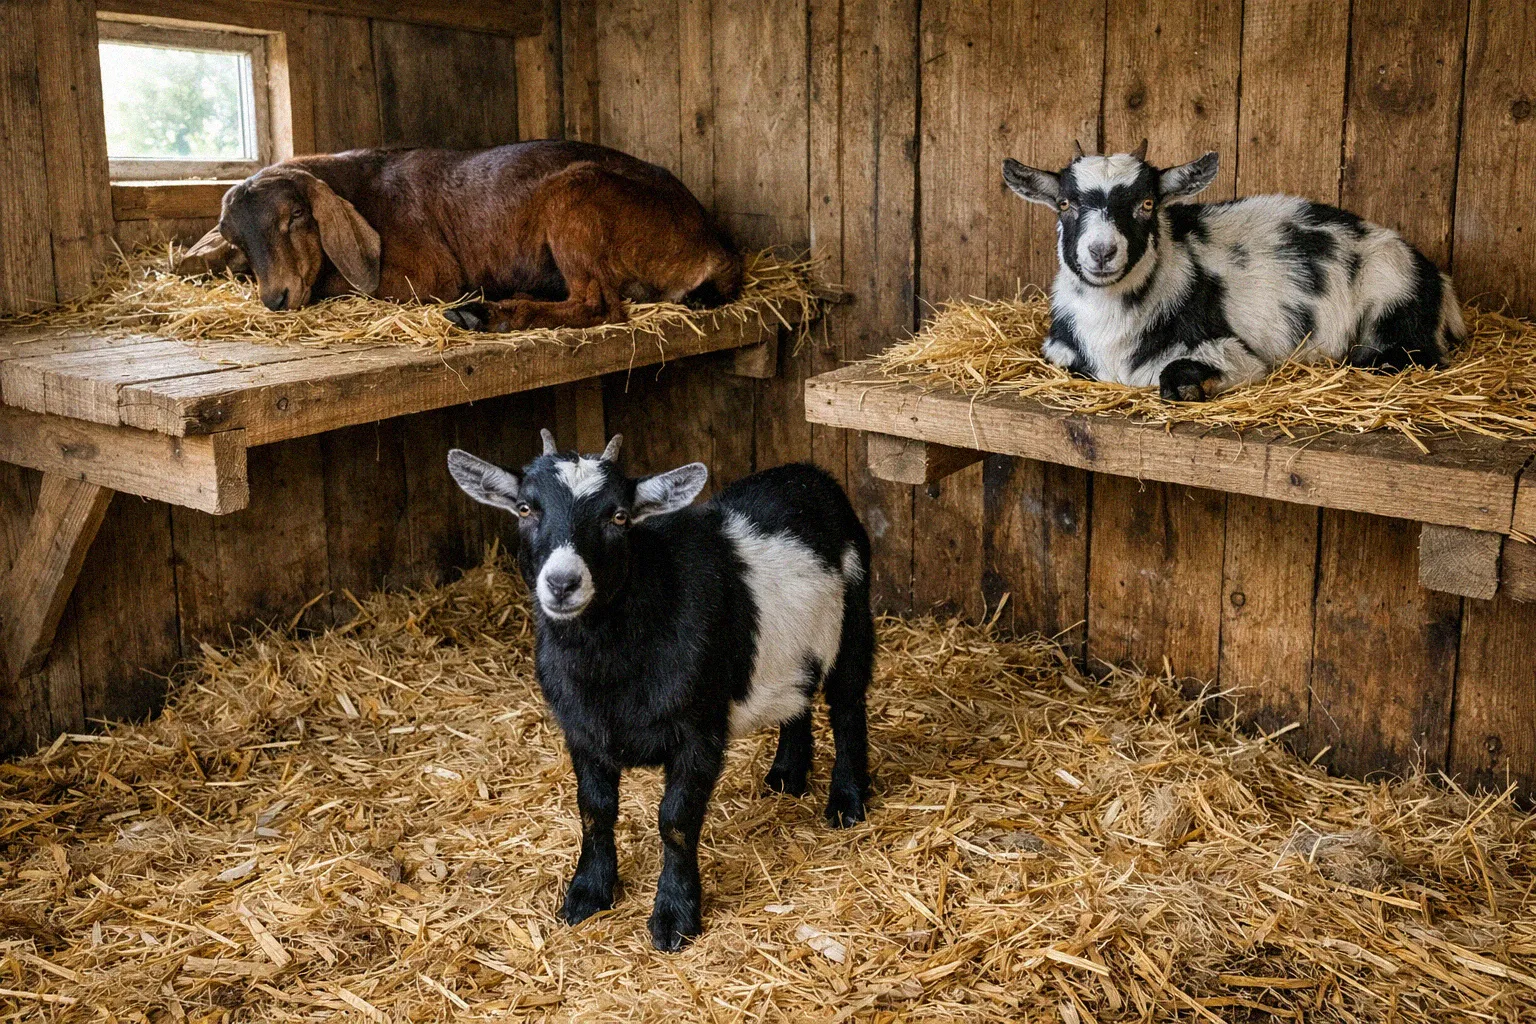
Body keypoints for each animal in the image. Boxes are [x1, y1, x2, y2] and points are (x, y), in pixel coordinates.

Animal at [180, 142, 743, 331]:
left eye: (296, 215)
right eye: (236, 239)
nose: (275, 298)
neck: (362, 188)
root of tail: (711, 247)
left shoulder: (428, 274)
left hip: (576, 196)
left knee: (598, 304)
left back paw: (488, 314)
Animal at [447, 432, 873, 950]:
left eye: (618, 516)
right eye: (526, 508)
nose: (563, 583)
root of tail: (812, 474)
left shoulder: (699, 731)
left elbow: (676, 821)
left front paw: (674, 916)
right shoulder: (582, 731)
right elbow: (595, 811)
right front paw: (587, 893)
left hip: (853, 616)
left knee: (848, 703)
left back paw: (847, 802)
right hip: (793, 647)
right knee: (799, 695)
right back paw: (787, 775)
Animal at [1001, 142, 1465, 400]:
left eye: (1147, 203)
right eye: (1064, 204)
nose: (1101, 252)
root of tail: (1437, 277)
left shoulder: (1234, 352)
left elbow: (1175, 376)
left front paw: (1193, 387)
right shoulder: (1059, 352)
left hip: (1395, 302)